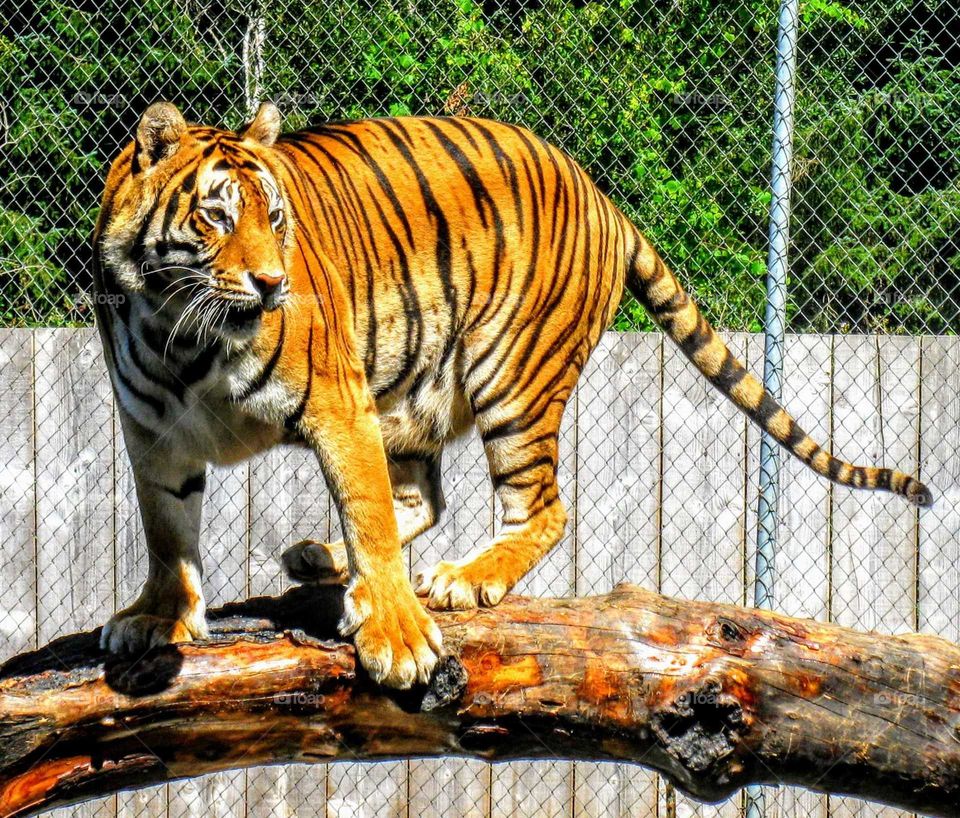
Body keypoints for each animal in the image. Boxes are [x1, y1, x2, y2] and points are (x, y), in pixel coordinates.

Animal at [92, 102, 928, 688]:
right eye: (216, 215)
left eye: (274, 216)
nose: (272, 284)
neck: (183, 338)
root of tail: (603, 196)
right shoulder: (151, 434)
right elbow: (167, 533)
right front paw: (157, 618)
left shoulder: (337, 403)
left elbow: (366, 511)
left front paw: (397, 637)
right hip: (411, 390)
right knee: (423, 498)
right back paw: (318, 558)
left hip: (511, 380)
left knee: (540, 509)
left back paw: (463, 579)